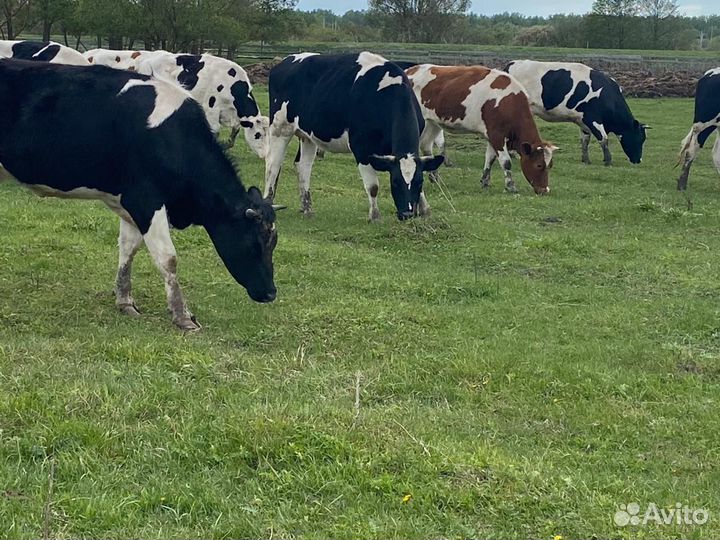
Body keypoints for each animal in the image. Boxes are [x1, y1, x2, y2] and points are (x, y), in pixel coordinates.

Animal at [264, 52, 444, 221]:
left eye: (419, 182)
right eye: (395, 182)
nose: (407, 214)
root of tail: (286, 61)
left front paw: (425, 211)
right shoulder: (361, 148)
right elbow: (373, 187)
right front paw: (375, 216)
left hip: (307, 135)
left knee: (303, 166)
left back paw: (307, 208)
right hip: (280, 128)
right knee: (273, 165)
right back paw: (269, 201)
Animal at [405, 64, 555, 195]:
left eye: (550, 166)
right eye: (539, 165)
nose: (545, 190)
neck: (508, 104)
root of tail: (410, 70)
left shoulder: (492, 136)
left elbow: (490, 159)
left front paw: (485, 181)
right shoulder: (497, 135)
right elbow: (506, 162)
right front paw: (510, 186)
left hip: (433, 123)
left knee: (426, 146)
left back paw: (435, 177)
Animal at [505, 60, 647, 166]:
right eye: (641, 138)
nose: (638, 160)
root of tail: (511, 64)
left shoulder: (583, 121)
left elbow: (585, 140)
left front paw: (586, 160)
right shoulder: (593, 119)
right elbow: (603, 139)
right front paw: (608, 161)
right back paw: (513, 154)